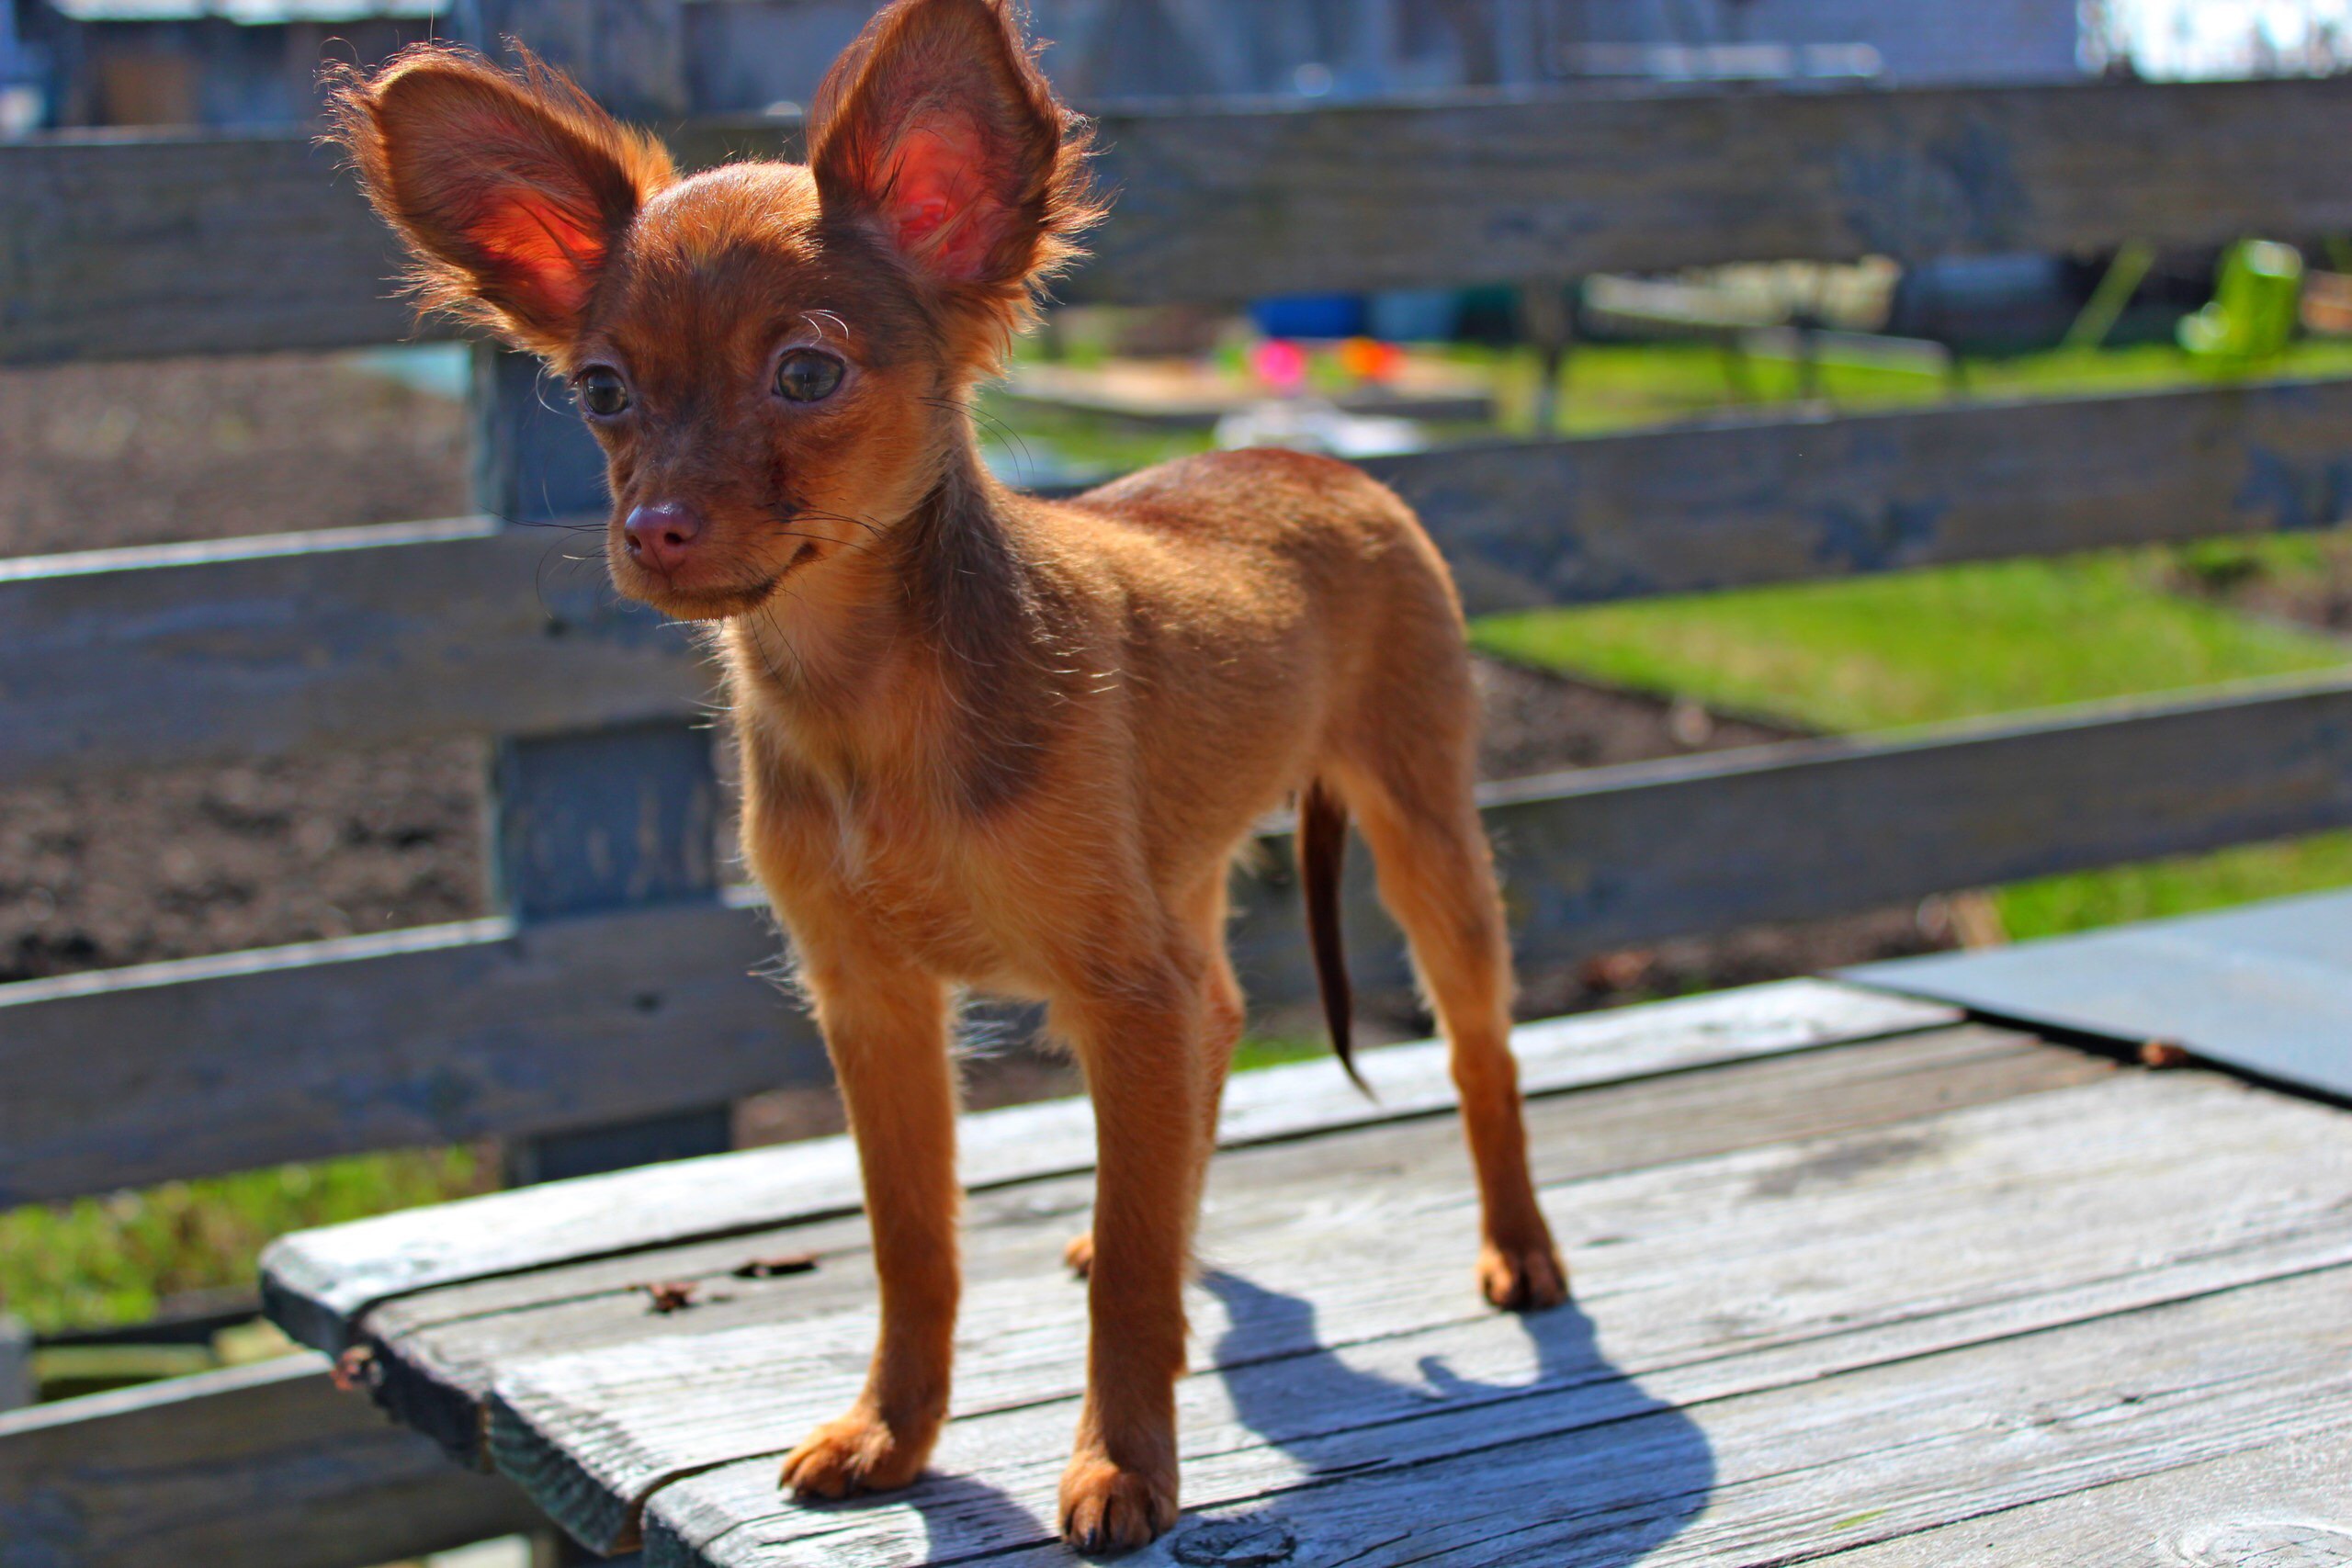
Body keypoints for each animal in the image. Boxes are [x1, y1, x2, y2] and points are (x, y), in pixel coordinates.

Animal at [331, 0, 1561, 1541]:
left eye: (806, 372)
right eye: (602, 391)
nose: (654, 527)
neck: (867, 702)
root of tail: (1311, 457)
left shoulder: (1114, 989)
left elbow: (1136, 1285)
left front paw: (1123, 1464)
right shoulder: (880, 1003)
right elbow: (913, 1242)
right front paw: (893, 1433)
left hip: (1420, 828)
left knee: (1478, 1044)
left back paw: (1520, 1248)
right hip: (1179, 877)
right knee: (1221, 1014)